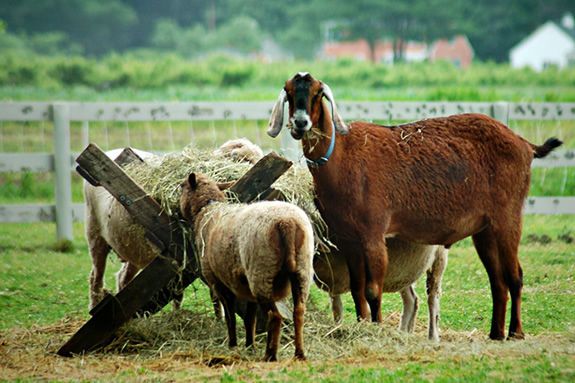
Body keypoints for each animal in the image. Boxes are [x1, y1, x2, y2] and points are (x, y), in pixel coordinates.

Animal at [180, 172, 316, 362]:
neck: (208, 210)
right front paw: (249, 345)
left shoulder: (218, 282)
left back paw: (270, 355)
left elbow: (230, 316)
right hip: (301, 271)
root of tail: (287, 223)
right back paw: (299, 354)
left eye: (181, 186)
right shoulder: (246, 287)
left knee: (274, 316)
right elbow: (249, 318)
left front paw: (233, 345)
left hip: (261, 273)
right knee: (299, 312)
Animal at [268, 71, 564, 340]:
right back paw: (495, 334)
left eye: (317, 93)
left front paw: (377, 329)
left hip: (508, 216)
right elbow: (357, 289)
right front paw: (363, 326)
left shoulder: (373, 232)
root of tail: (525, 144)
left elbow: (372, 290)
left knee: (515, 275)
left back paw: (515, 333)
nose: (301, 122)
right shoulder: (349, 238)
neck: (343, 155)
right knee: (498, 280)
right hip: (485, 229)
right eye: (289, 92)